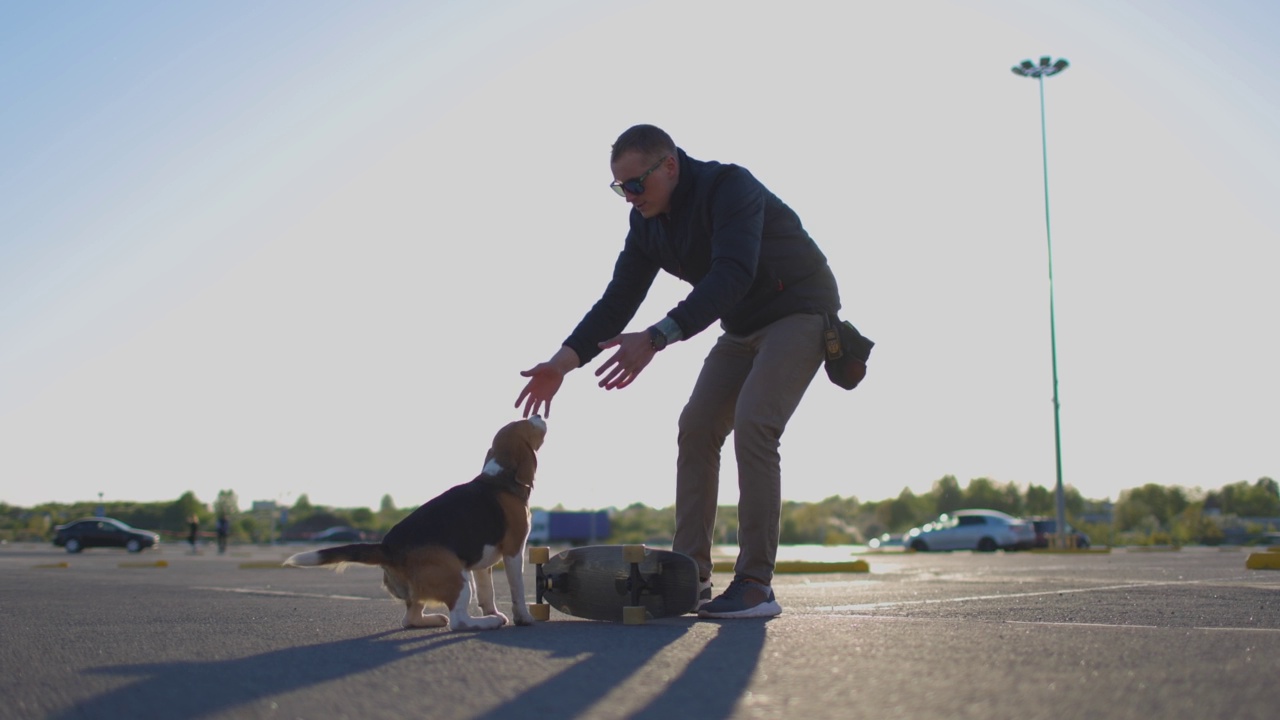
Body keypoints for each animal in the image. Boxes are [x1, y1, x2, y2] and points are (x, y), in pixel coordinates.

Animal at [285, 415, 545, 627]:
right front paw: (523, 617)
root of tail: (387, 547)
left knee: (410, 619)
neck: (500, 476)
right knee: (458, 620)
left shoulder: (483, 563)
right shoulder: (514, 550)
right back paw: (485, 623)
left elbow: (487, 592)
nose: (538, 414)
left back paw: (439, 619)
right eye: (527, 423)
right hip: (457, 576)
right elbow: (517, 588)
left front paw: (494, 611)